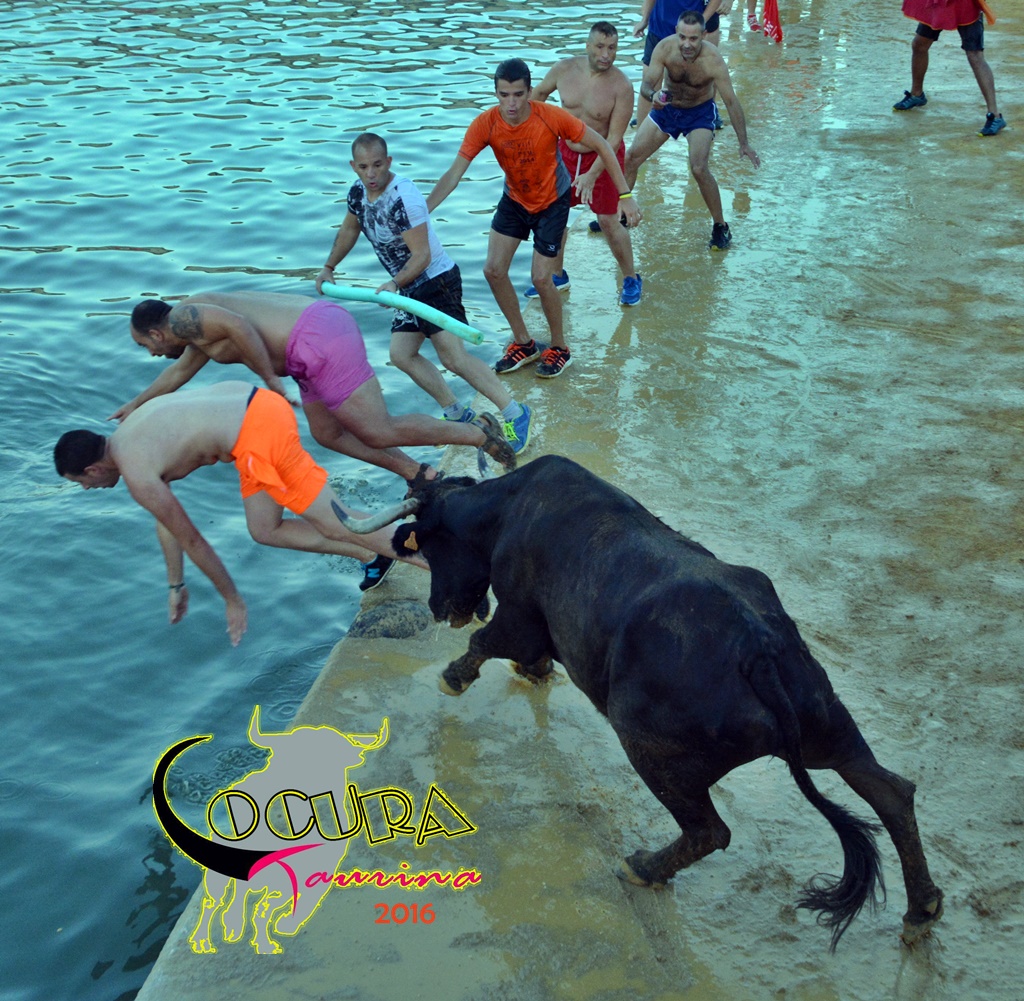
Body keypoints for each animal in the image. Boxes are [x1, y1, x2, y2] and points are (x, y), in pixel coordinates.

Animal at [339, 455, 943, 950]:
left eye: (430, 546)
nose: (441, 608)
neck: (506, 509)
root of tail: (759, 649)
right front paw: (531, 673)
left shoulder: (518, 614)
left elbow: (487, 643)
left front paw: (454, 677)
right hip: (828, 727)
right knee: (890, 792)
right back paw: (922, 909)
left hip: (648, 747)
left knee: (710, 831)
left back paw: (644, 869)